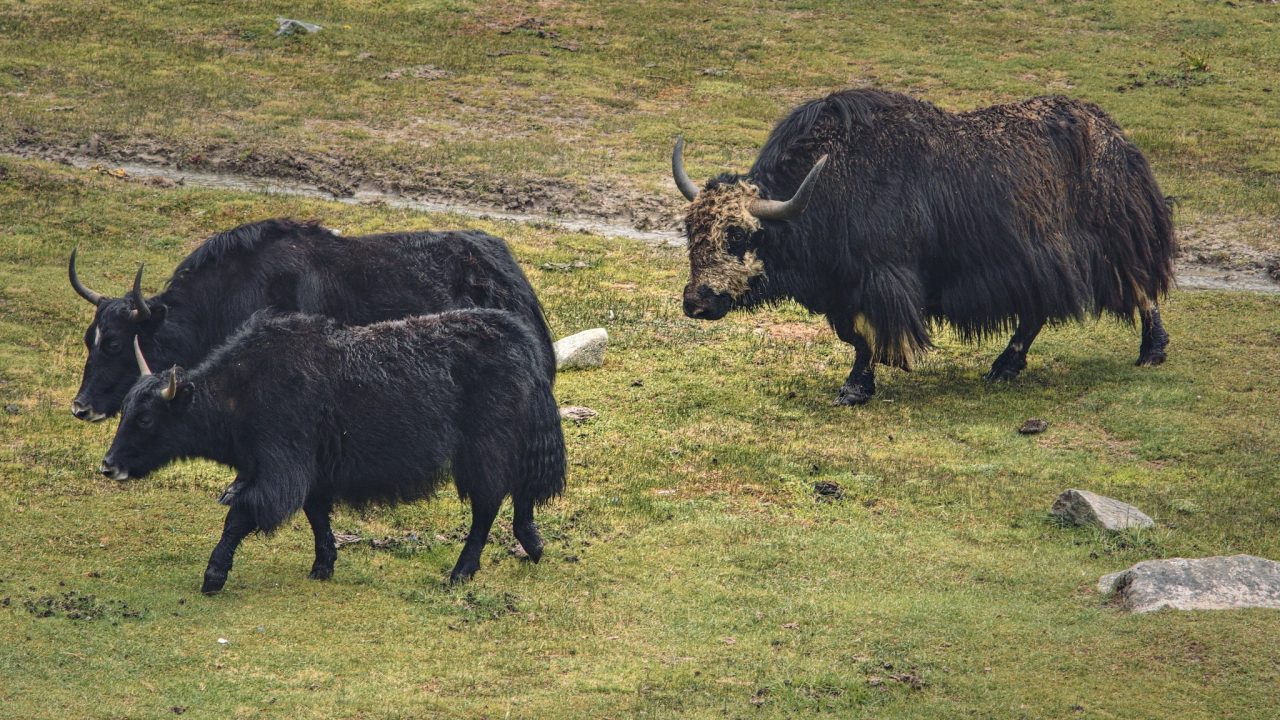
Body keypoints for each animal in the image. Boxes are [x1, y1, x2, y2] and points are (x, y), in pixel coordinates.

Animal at [96, 308, 565, 589]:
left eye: (146, 418)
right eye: (125, 411)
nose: (108, 466)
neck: (240, 391)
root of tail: (521, 342)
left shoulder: (283, 467)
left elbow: (242, 515)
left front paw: (213, 575)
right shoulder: (315, 470)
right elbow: (316, 514)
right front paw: (323, 565)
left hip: (484, 447)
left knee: (488, 502)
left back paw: (461, 572)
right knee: (520, 492)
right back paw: (533, 544)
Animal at [675, 88, 1172, 404]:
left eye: (737, 235)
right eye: (689, 230)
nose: (696, 303)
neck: (821, 191)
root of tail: (1115, 136)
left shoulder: (880, 277)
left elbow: (868, 336)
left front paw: (855, 389)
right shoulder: (841, 288)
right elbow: (852, 335)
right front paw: (857, 384)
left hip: (1114, 236)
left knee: (1140, 286)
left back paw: (1152, 353)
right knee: (1036, 313)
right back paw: (1003, 368)